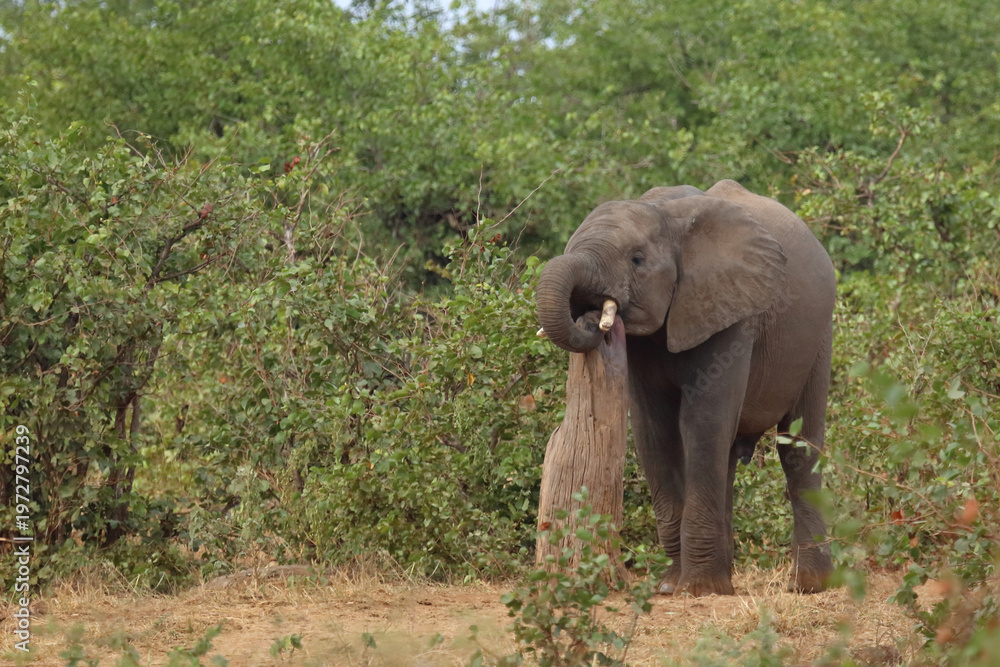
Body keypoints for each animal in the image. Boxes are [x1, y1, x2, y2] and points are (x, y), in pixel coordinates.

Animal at [535, 179, 835, 596]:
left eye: (637, 260)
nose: (592, 314)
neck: (666, 215)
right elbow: (654, 430)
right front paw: (670, 587)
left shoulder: (731, 309)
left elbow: (703, 422)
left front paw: (697, 590)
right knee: (729, 455)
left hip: (819, 335)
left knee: (797, 449)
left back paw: (807, 585)